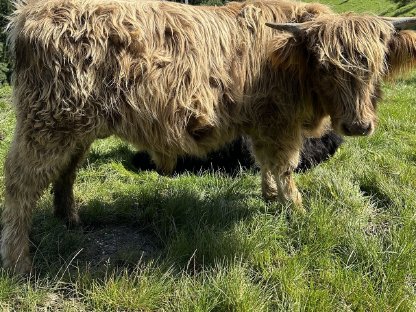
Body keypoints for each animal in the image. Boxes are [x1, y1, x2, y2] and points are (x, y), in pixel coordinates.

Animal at [2, 0, 416, 272]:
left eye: (377, 64)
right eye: (327, 67)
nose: (358, 126)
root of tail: (29, 13)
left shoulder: (262, 123)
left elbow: (265, 163)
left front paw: (269, 195)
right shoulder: (278, 121)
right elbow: (284, 165)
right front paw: (295, 209)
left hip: (76, 127)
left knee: (67, 170)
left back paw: (69, 218)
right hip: (47, 124)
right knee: (20, 184)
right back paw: (19, 262)